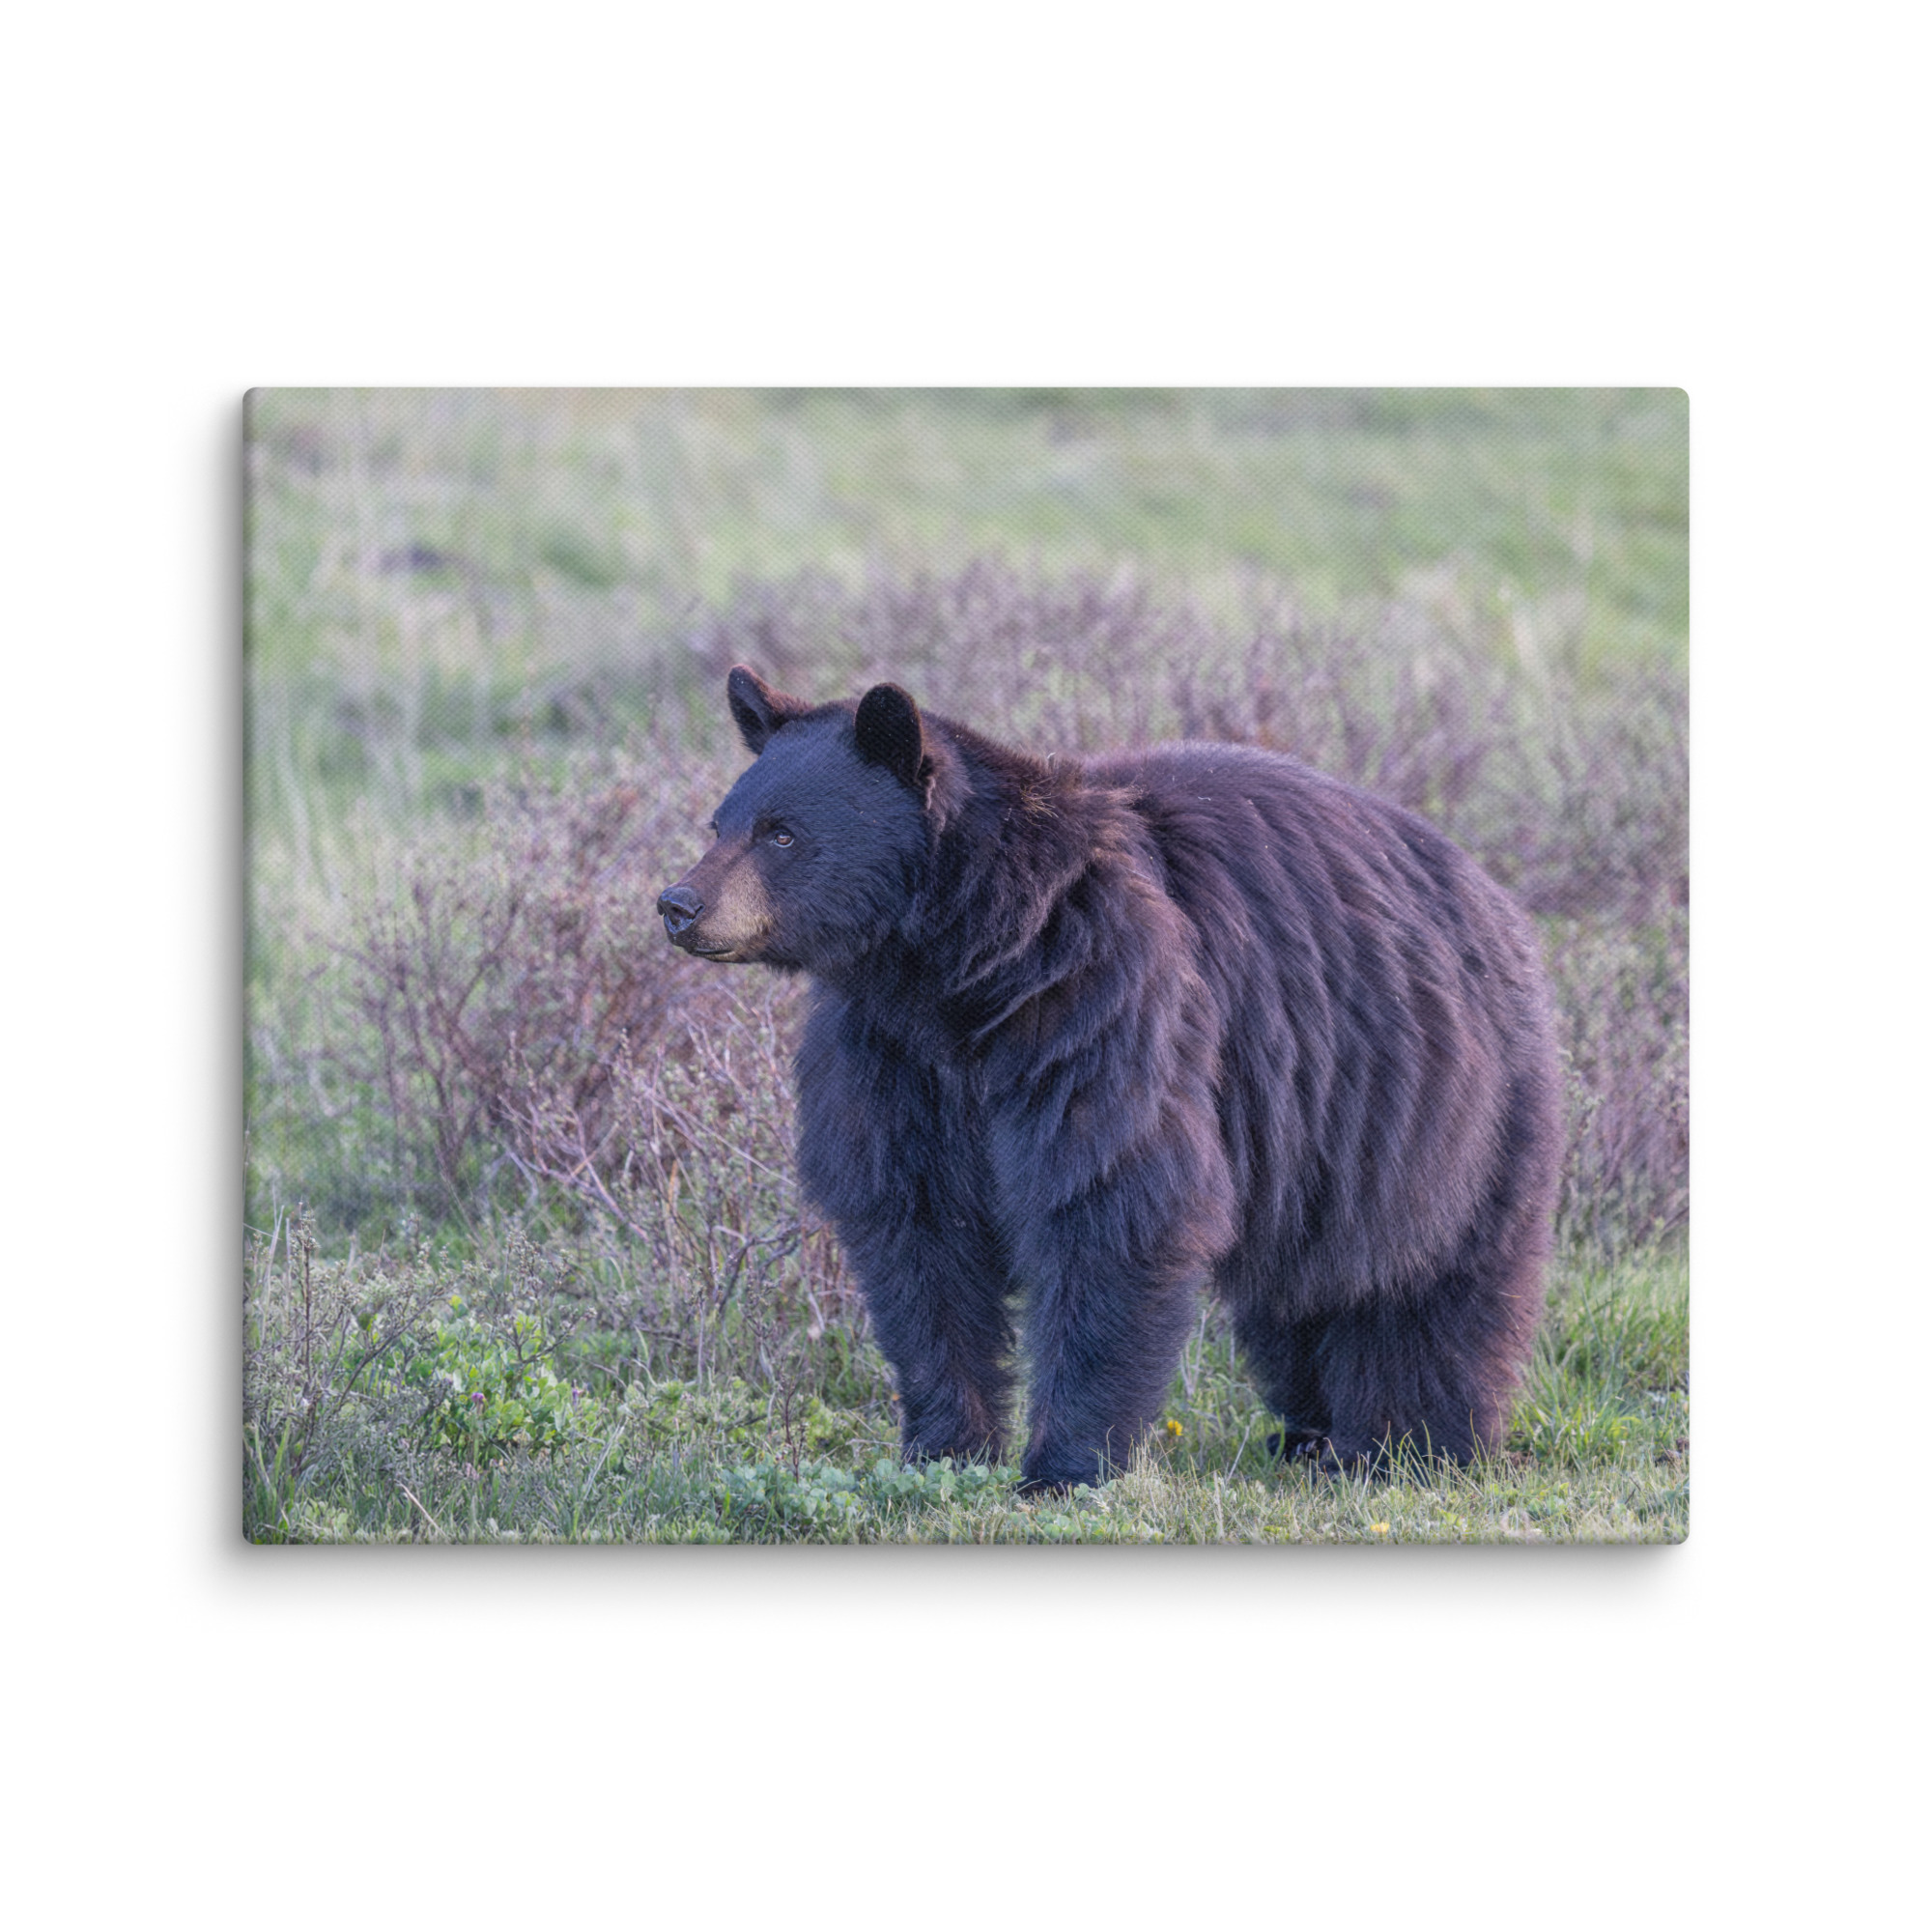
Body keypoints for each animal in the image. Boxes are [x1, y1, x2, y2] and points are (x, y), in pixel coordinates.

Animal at [658, 664, 1563, 1493]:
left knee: (1430, 1283)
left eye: (781, 833)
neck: (960, 968)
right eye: (720, 821)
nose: (679, 903)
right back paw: (1309, 1433)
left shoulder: (1100, 1005)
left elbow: (1110, 1203)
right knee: (1302, 1292)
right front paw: (944, 1448)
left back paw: (1409, 1443)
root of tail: (1492, 894)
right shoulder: (891, 1059)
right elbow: (916, 1233)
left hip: (1439, 1107)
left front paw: (1063, 1467)